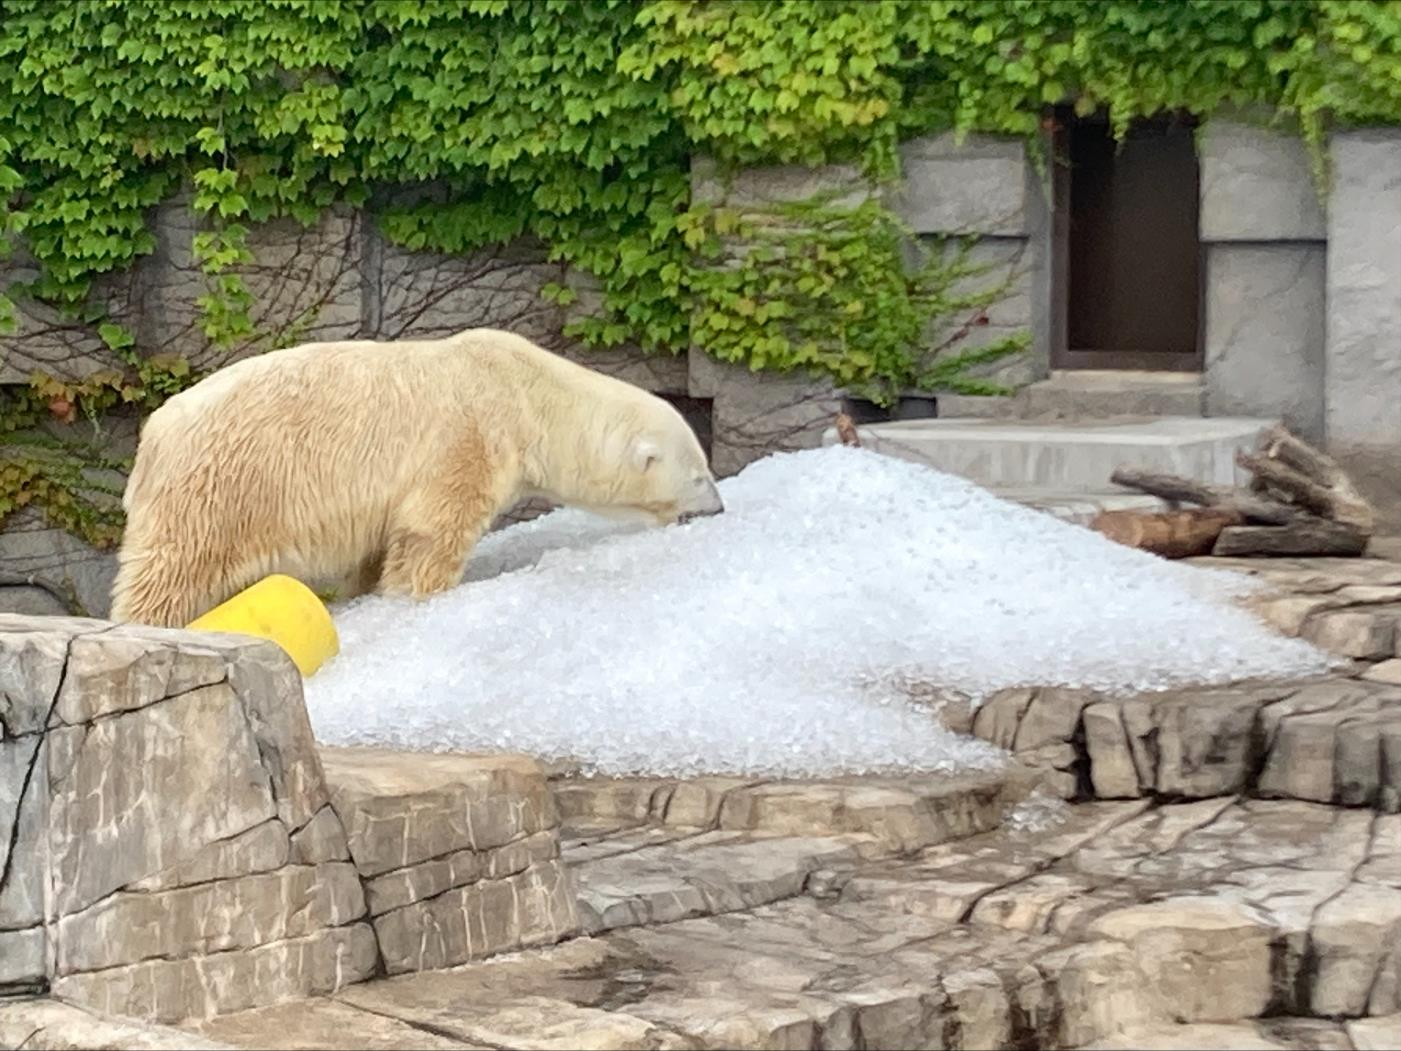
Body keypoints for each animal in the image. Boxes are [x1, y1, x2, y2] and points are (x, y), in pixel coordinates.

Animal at [109, 327, 722, 624]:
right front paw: (421, 597)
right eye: (700, 475)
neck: (526, 390)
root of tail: (154, 435)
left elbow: (377, 548)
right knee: (169, 573)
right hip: (219, 487)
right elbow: (434, 531)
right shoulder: (467, 440)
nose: (719, 509)